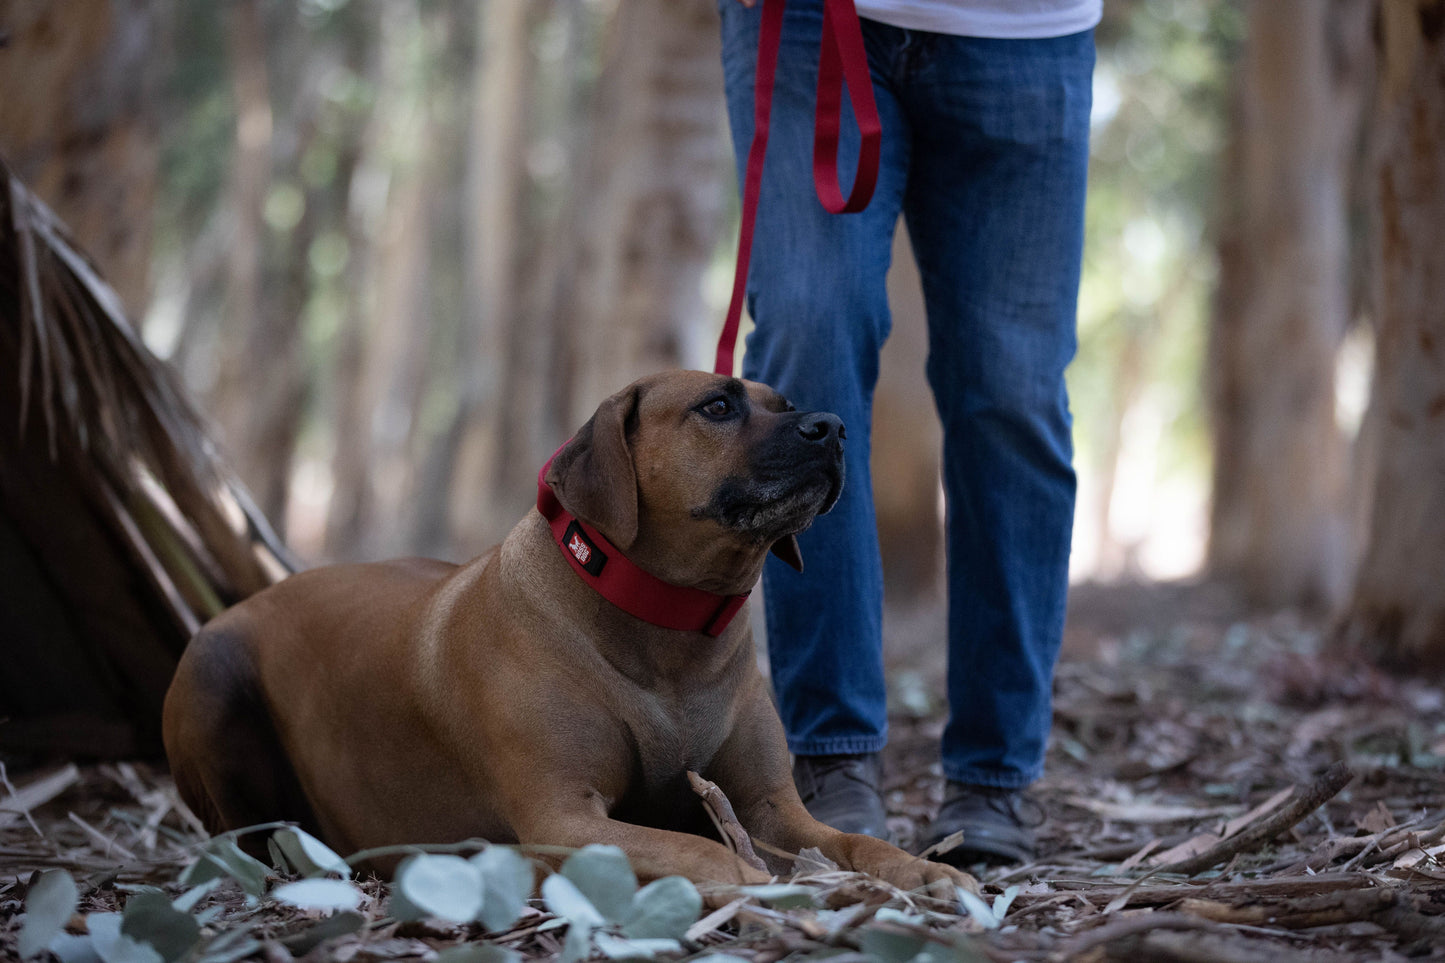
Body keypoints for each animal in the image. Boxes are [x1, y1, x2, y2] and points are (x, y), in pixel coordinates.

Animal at [164, 367, 976, 890]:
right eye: (717, 406)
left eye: (786, 402)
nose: (833, 427)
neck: (670, 628)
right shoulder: (564, 816)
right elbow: (701, 852)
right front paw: (757, 883)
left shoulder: (772, 806)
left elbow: (855, 838)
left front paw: (923, 869)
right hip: (209, 673)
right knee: (238, 828)